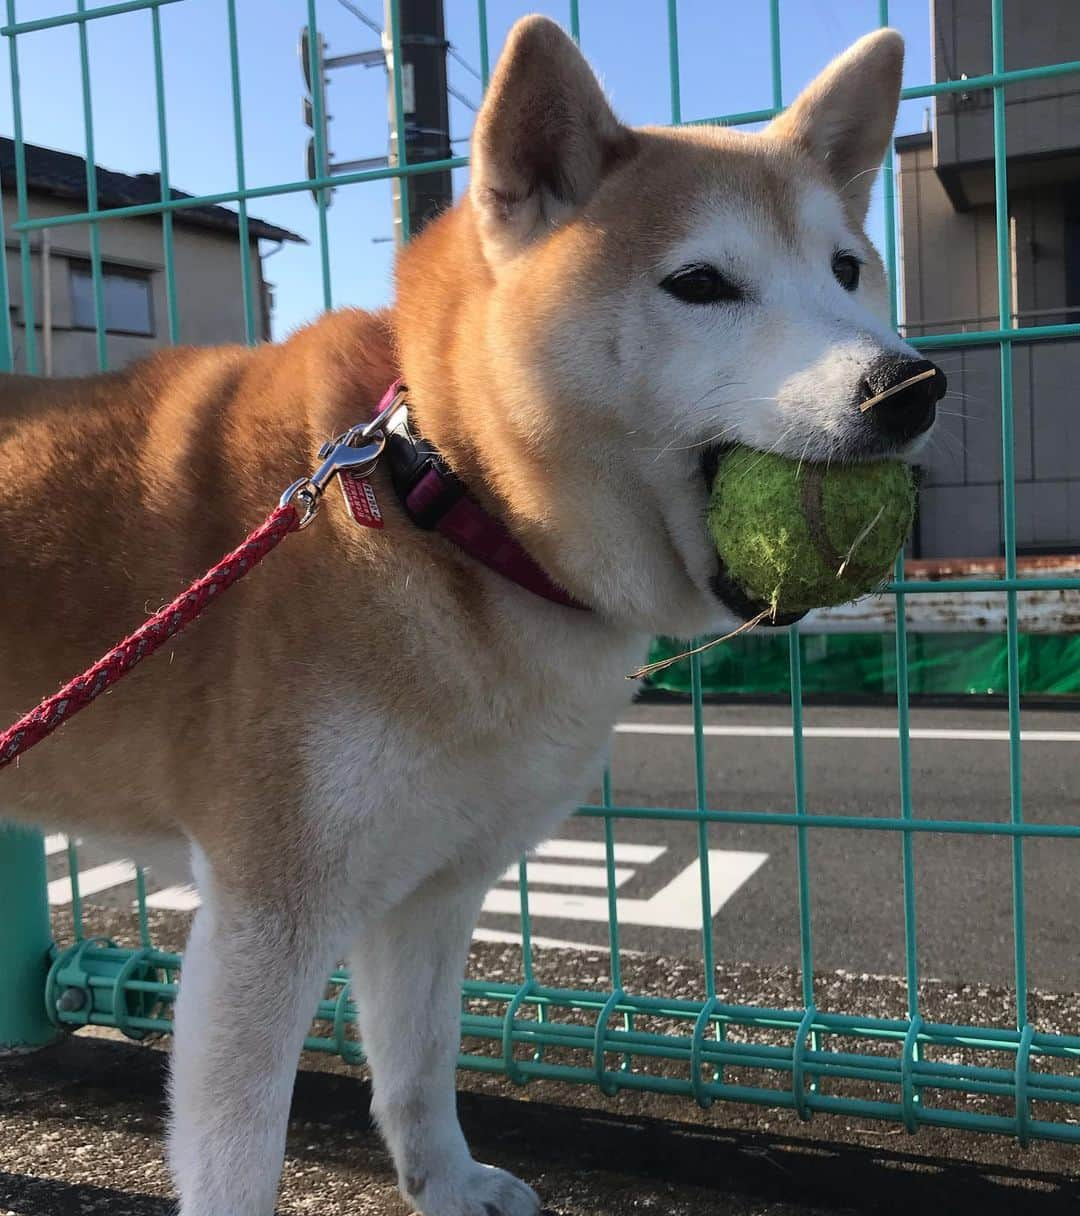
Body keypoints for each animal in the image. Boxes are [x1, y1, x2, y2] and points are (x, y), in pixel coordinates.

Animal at [0, 16, 938, 1216]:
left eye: (847, 270)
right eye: (700, 283)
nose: (909, 387)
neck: (445, 499)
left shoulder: (437, 882)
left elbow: (418, 1064)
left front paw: (444, 1182)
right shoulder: (270, 905)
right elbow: (239, 1150)